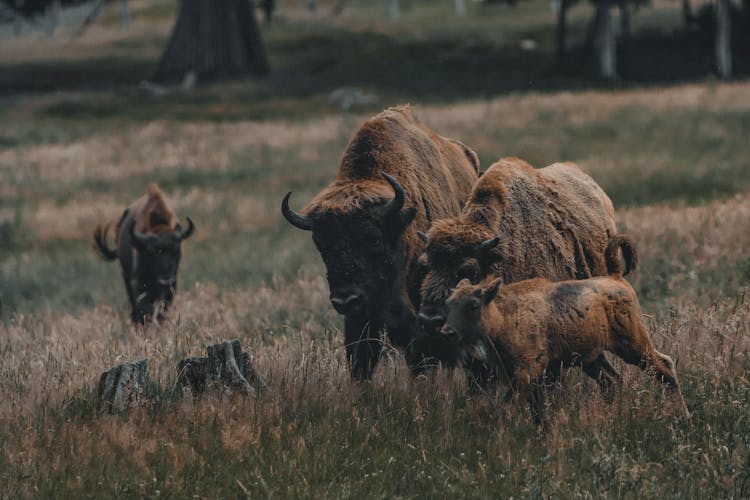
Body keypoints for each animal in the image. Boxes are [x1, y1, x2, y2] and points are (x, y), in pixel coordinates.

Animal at [92, 183, 194, 324]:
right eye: (151, 252)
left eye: (176, 250)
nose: (165, 278)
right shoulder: (137, 283)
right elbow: (144, 305)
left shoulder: (172, 285)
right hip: (126, 276)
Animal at [440, 236, 692, 420]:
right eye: (449, 303)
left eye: (473, 304)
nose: (447, 332)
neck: (504, 313)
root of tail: (615, 278)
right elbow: (537, 410)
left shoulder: (526, 372)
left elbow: (508, 409)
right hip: (592, 358)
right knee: (613, 381)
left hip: (633, 345)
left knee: (664, 366)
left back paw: (683, 416)